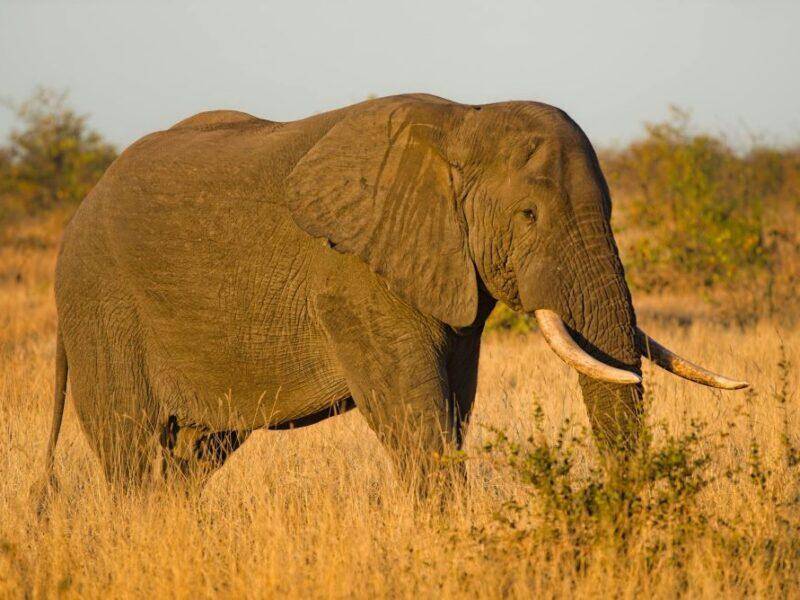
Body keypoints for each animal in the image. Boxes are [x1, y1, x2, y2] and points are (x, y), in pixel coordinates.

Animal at [37, 94, 747, 498]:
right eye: (527, 216)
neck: (463, 123)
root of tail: (79, 210)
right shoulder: (355, 277)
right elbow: (413, 411)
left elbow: (453, 402)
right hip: (101, 303)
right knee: (132, 451)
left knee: (191, 459)